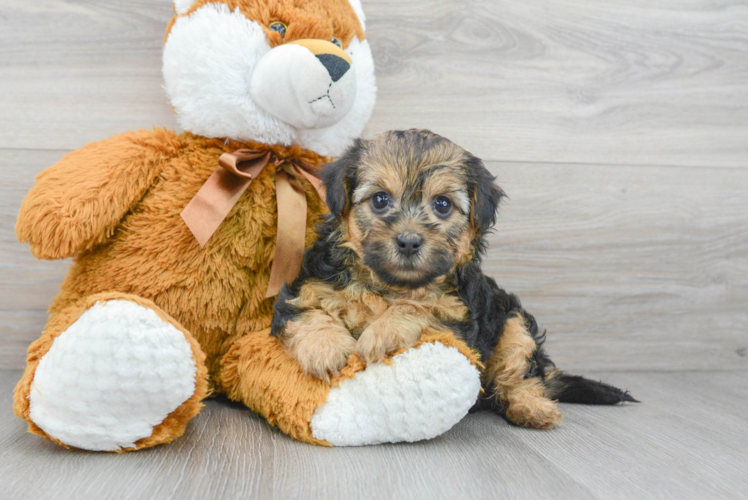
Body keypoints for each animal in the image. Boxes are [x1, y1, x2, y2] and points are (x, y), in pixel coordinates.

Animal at [272, 129, 636, 430]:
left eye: (443, 205)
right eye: (380, 200)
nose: (408, 241)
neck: (388, 285)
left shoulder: (457, 315)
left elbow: (420, 307)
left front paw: (385, 331)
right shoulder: (305, 288)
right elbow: (309, 312)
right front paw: (326, 349)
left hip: (513, 323)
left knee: (520, 372)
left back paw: (533, 408)